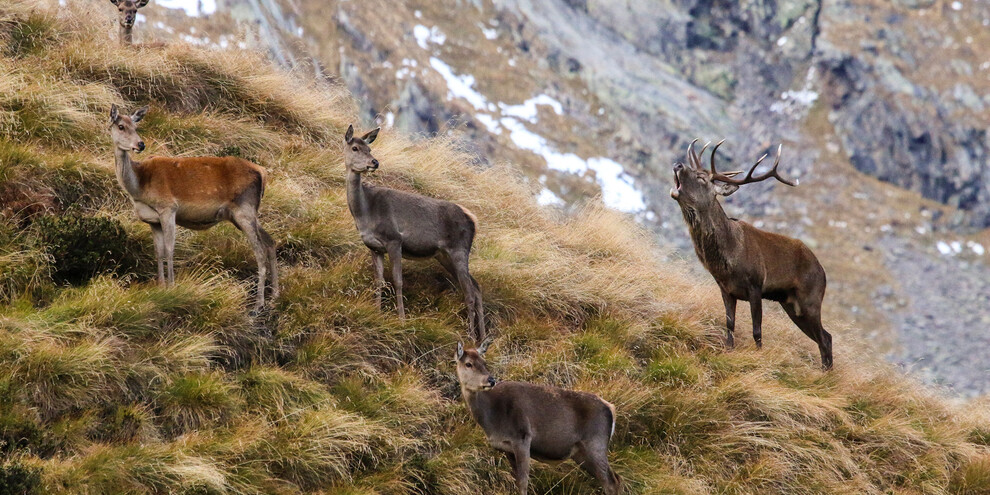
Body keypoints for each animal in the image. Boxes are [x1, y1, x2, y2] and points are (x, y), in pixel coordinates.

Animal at [346, 124, 486, 340]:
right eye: (355, 148)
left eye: (369, 149)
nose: (374, 162)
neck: (365, 212)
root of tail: (473, 220)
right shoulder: (374, 247)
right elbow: (379, 280)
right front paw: (377, 311)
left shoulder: (394, 240)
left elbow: (397, 280)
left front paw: (402, 320)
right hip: (443, 255)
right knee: (477, 288)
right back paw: (485, 337)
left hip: (459, 250)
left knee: (470, 293)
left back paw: (471, 337)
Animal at [456, 340, 620, 495]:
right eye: (468, 363)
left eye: (484, 362)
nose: (491, 380)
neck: (492, 420)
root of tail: (611, 408)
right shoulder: (506, 448)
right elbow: (517, 481)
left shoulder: (522, 437)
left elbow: (523, 482)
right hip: (581, 453)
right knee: (615, 478)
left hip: (596, 443)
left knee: (612, 482)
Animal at [672, 139, 832, 368]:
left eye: (701, 178)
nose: (677, 164)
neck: (729, 259)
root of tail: (823, 272)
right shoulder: (726, 289)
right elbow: (729, 324)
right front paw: (728, 351)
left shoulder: (755, 286)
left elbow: (757, 331)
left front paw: (759, 358)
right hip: (791, 305)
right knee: (824, 337)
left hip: (811, 298)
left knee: (825, 338)